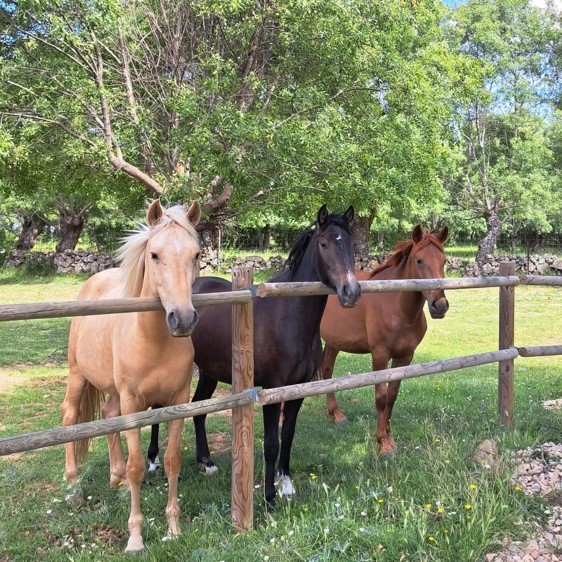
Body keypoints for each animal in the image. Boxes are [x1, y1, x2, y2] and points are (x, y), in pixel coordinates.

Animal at [61, 199, 200, 548]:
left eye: (196, 255)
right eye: (154, 254)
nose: (182, 319)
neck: (154, 340)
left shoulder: (178, 401)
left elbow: (172, 460)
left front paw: (173, 528)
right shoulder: (133, 403)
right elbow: (138, 465)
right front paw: (135, 537)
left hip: (112, 391)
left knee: (109, 415)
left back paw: (117, 478)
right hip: (77, 374)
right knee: (69, 416)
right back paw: (72, 485)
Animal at [148, 203, 358, 506]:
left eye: (352, 244)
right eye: (324, 243)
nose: (351, 292)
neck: (288, 317)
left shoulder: (298, 389)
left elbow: (288, 435)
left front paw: (286, 485)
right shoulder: (272, 390)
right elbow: (271, 443)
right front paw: (269, 497)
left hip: (210, 372)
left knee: (199, 410)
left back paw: (206, 462)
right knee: (157, 409)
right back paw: (152, 462)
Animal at [320, 224, 446, 456]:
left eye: (444, 261)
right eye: (419, 260)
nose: (439, 306)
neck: (396, 305)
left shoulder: (405, 357)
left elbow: (392, 396)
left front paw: (390, 437)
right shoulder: (379, 355)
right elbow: (380, 397)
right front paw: (383, 443)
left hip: (333, 342)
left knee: (326, 370)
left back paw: (337, 414)